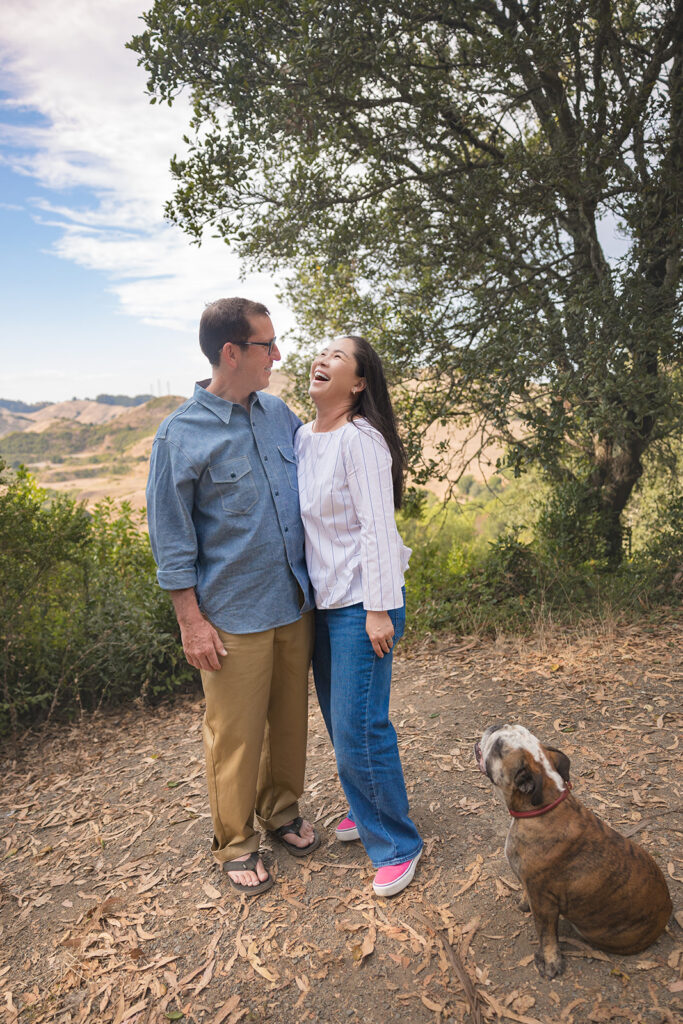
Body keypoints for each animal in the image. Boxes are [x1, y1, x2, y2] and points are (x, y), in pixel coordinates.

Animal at [475, 720, 671, 974]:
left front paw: (550, 960)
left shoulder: (544, 900)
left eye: (498, 746)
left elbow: (546, 933)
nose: (497, 725)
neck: (543, 806)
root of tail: (667, 913)